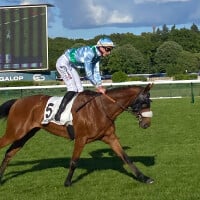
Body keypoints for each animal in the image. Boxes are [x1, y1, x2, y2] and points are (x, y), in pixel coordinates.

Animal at [0, 83, 154, 186]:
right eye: (144, 102)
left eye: (150, 102)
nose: (147, 123)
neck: (101, 108)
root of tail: (17, 101)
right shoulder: (81, 138)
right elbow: (74, 161)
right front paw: (67, 182)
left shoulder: (110, 137)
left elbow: (126, 158)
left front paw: (144, 178)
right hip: (15, 132)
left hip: (25, 134)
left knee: (9, 153)